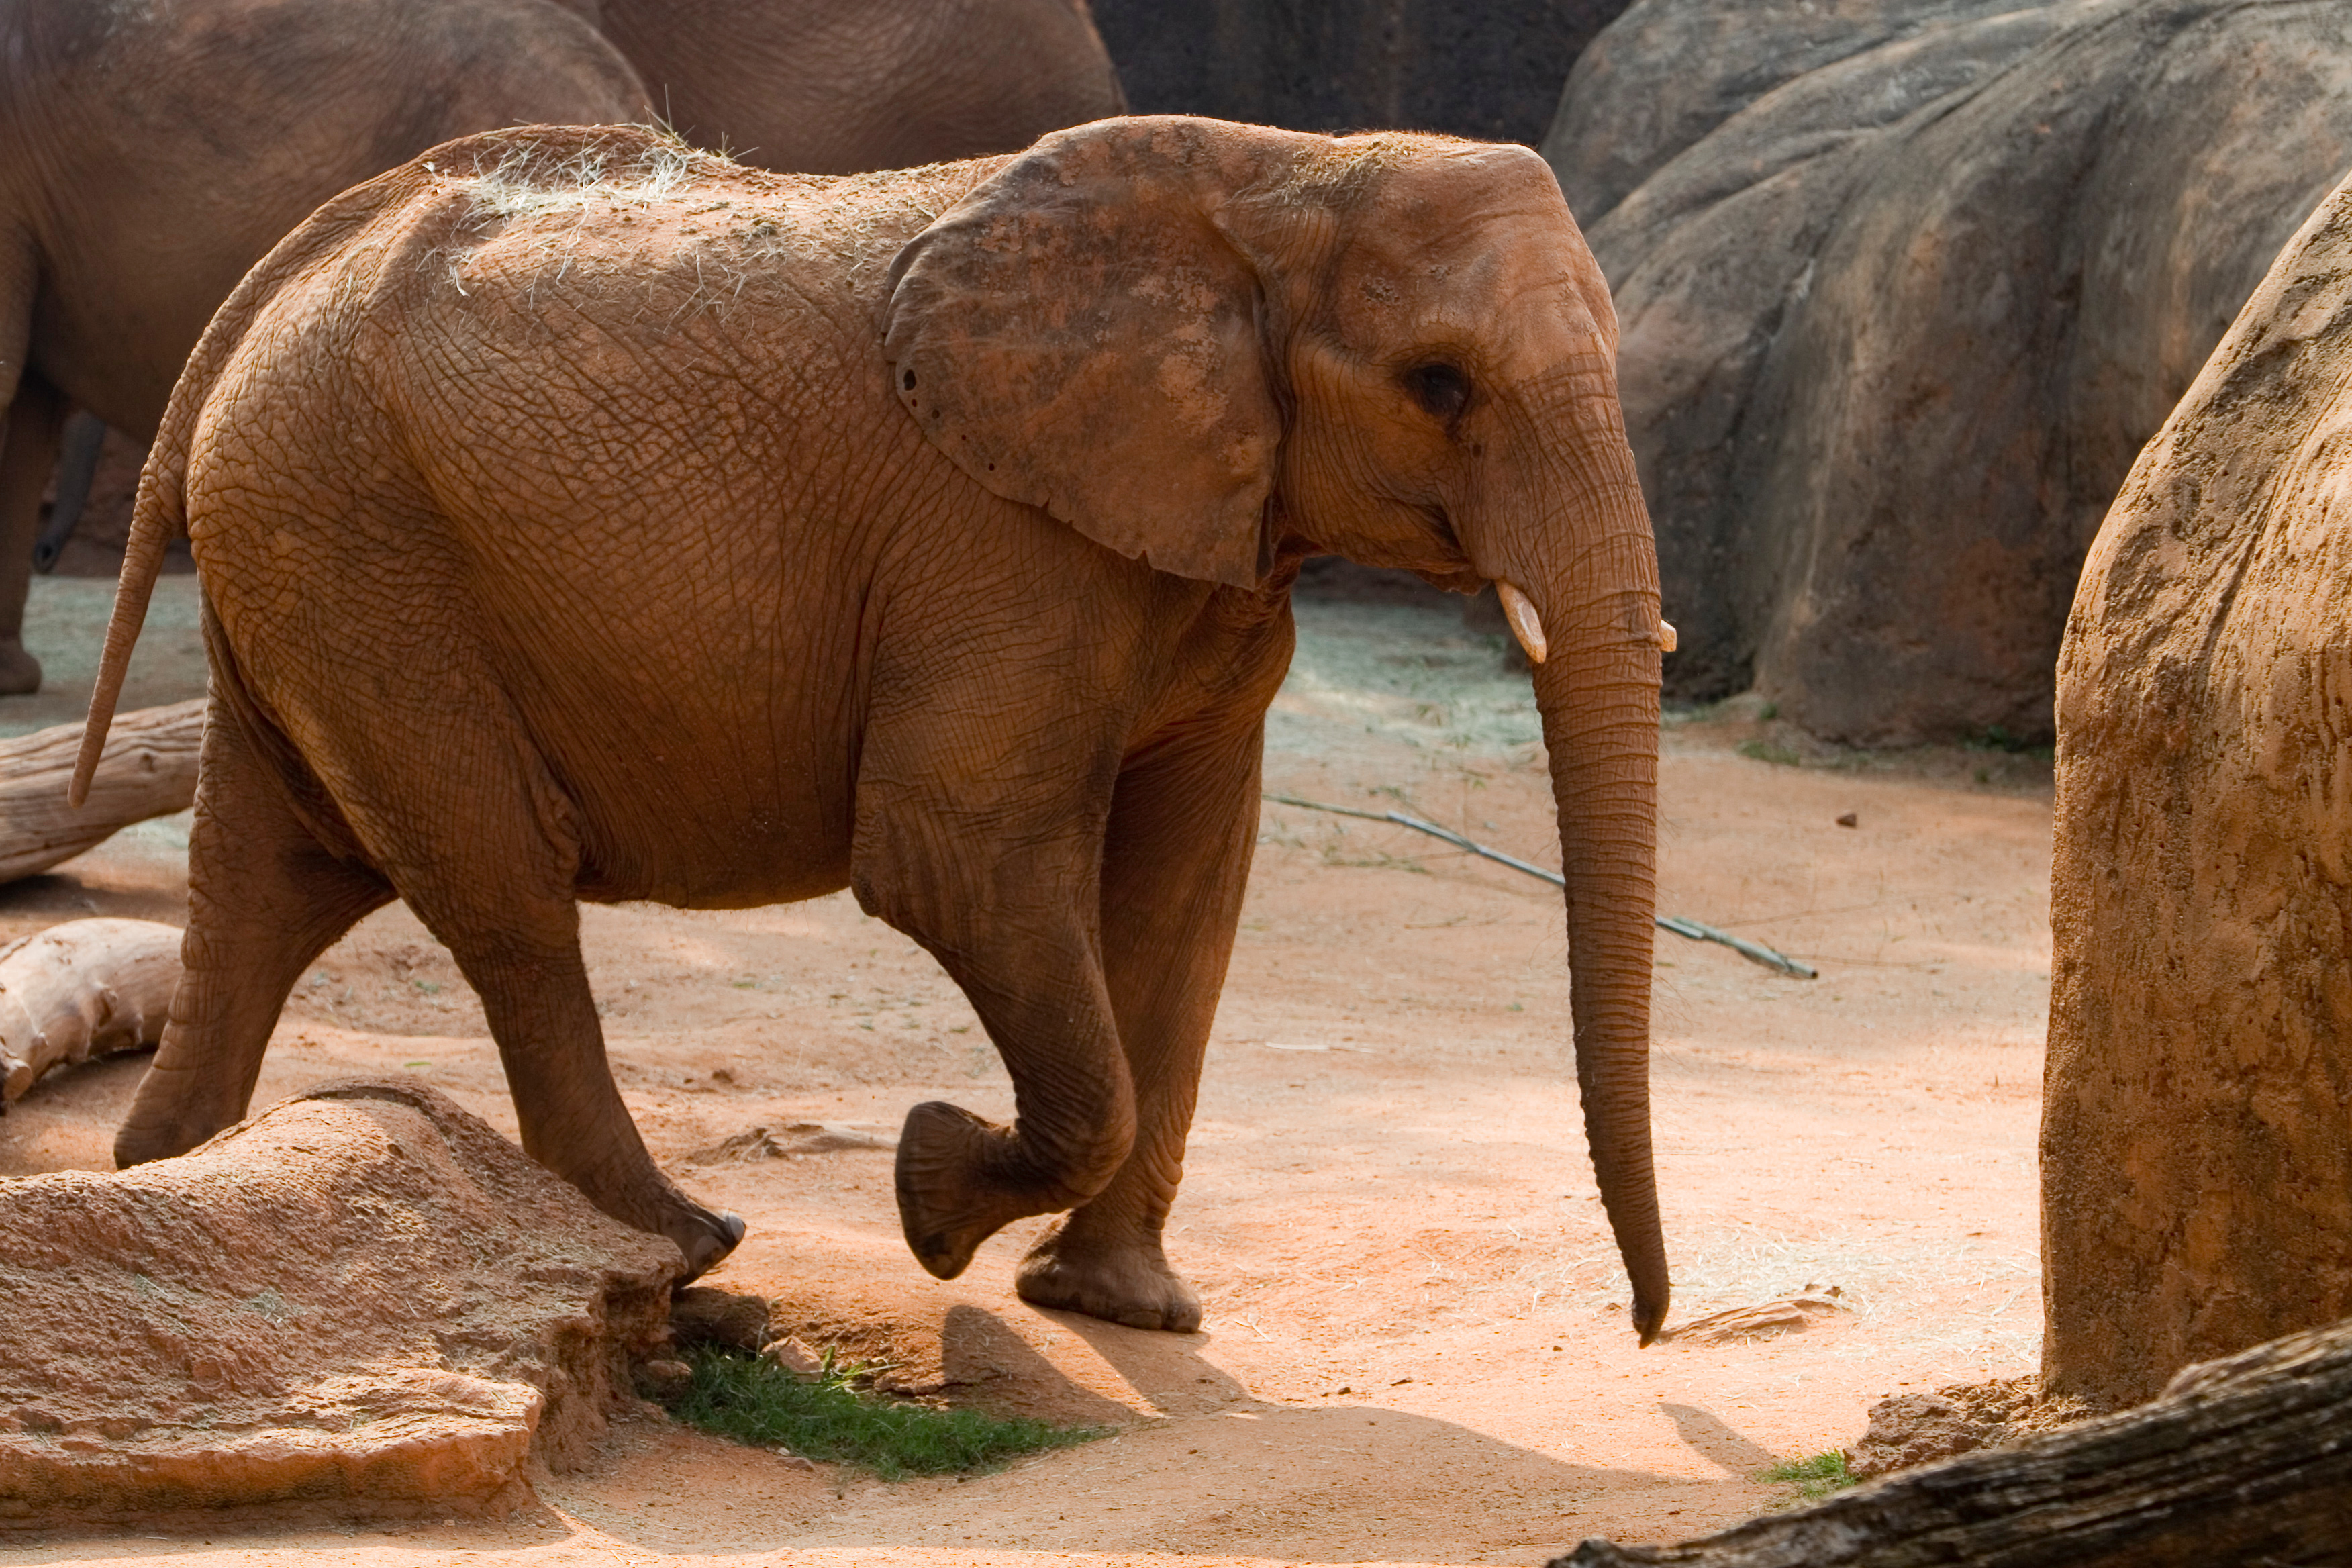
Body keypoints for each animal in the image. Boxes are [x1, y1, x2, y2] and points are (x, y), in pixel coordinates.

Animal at [76, 117, 1673, 1339]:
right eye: (1439, 385)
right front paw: (929, 1201)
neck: (1279, 171)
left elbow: (1187, 890)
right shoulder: (1000, 545)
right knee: (503, 895)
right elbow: (951, 857)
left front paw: (1119, 1311)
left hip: (308, 558)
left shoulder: (1208, 547)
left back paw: (158, 1179)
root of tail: (288, 269)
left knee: (269, 877)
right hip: (360, 553)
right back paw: (682, 1247)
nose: (1647, 1328)